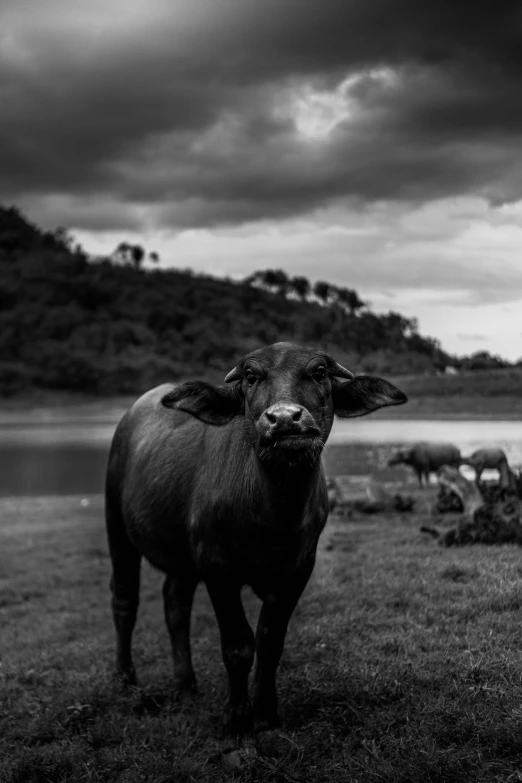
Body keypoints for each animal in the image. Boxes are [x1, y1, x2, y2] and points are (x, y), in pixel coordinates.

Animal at [104, 344, 406, 736]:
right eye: (250, 376)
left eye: (319, 372)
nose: (285, 419)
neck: (272, 517)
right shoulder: (217, 568)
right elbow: (238, 644)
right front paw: (236, 716)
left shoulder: (297, 570)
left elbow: (270, 641)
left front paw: (265, 714)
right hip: (116, 523)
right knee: (125, 599)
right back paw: (126, 679)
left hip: (183, 558)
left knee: (175, 604)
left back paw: (185, 685)